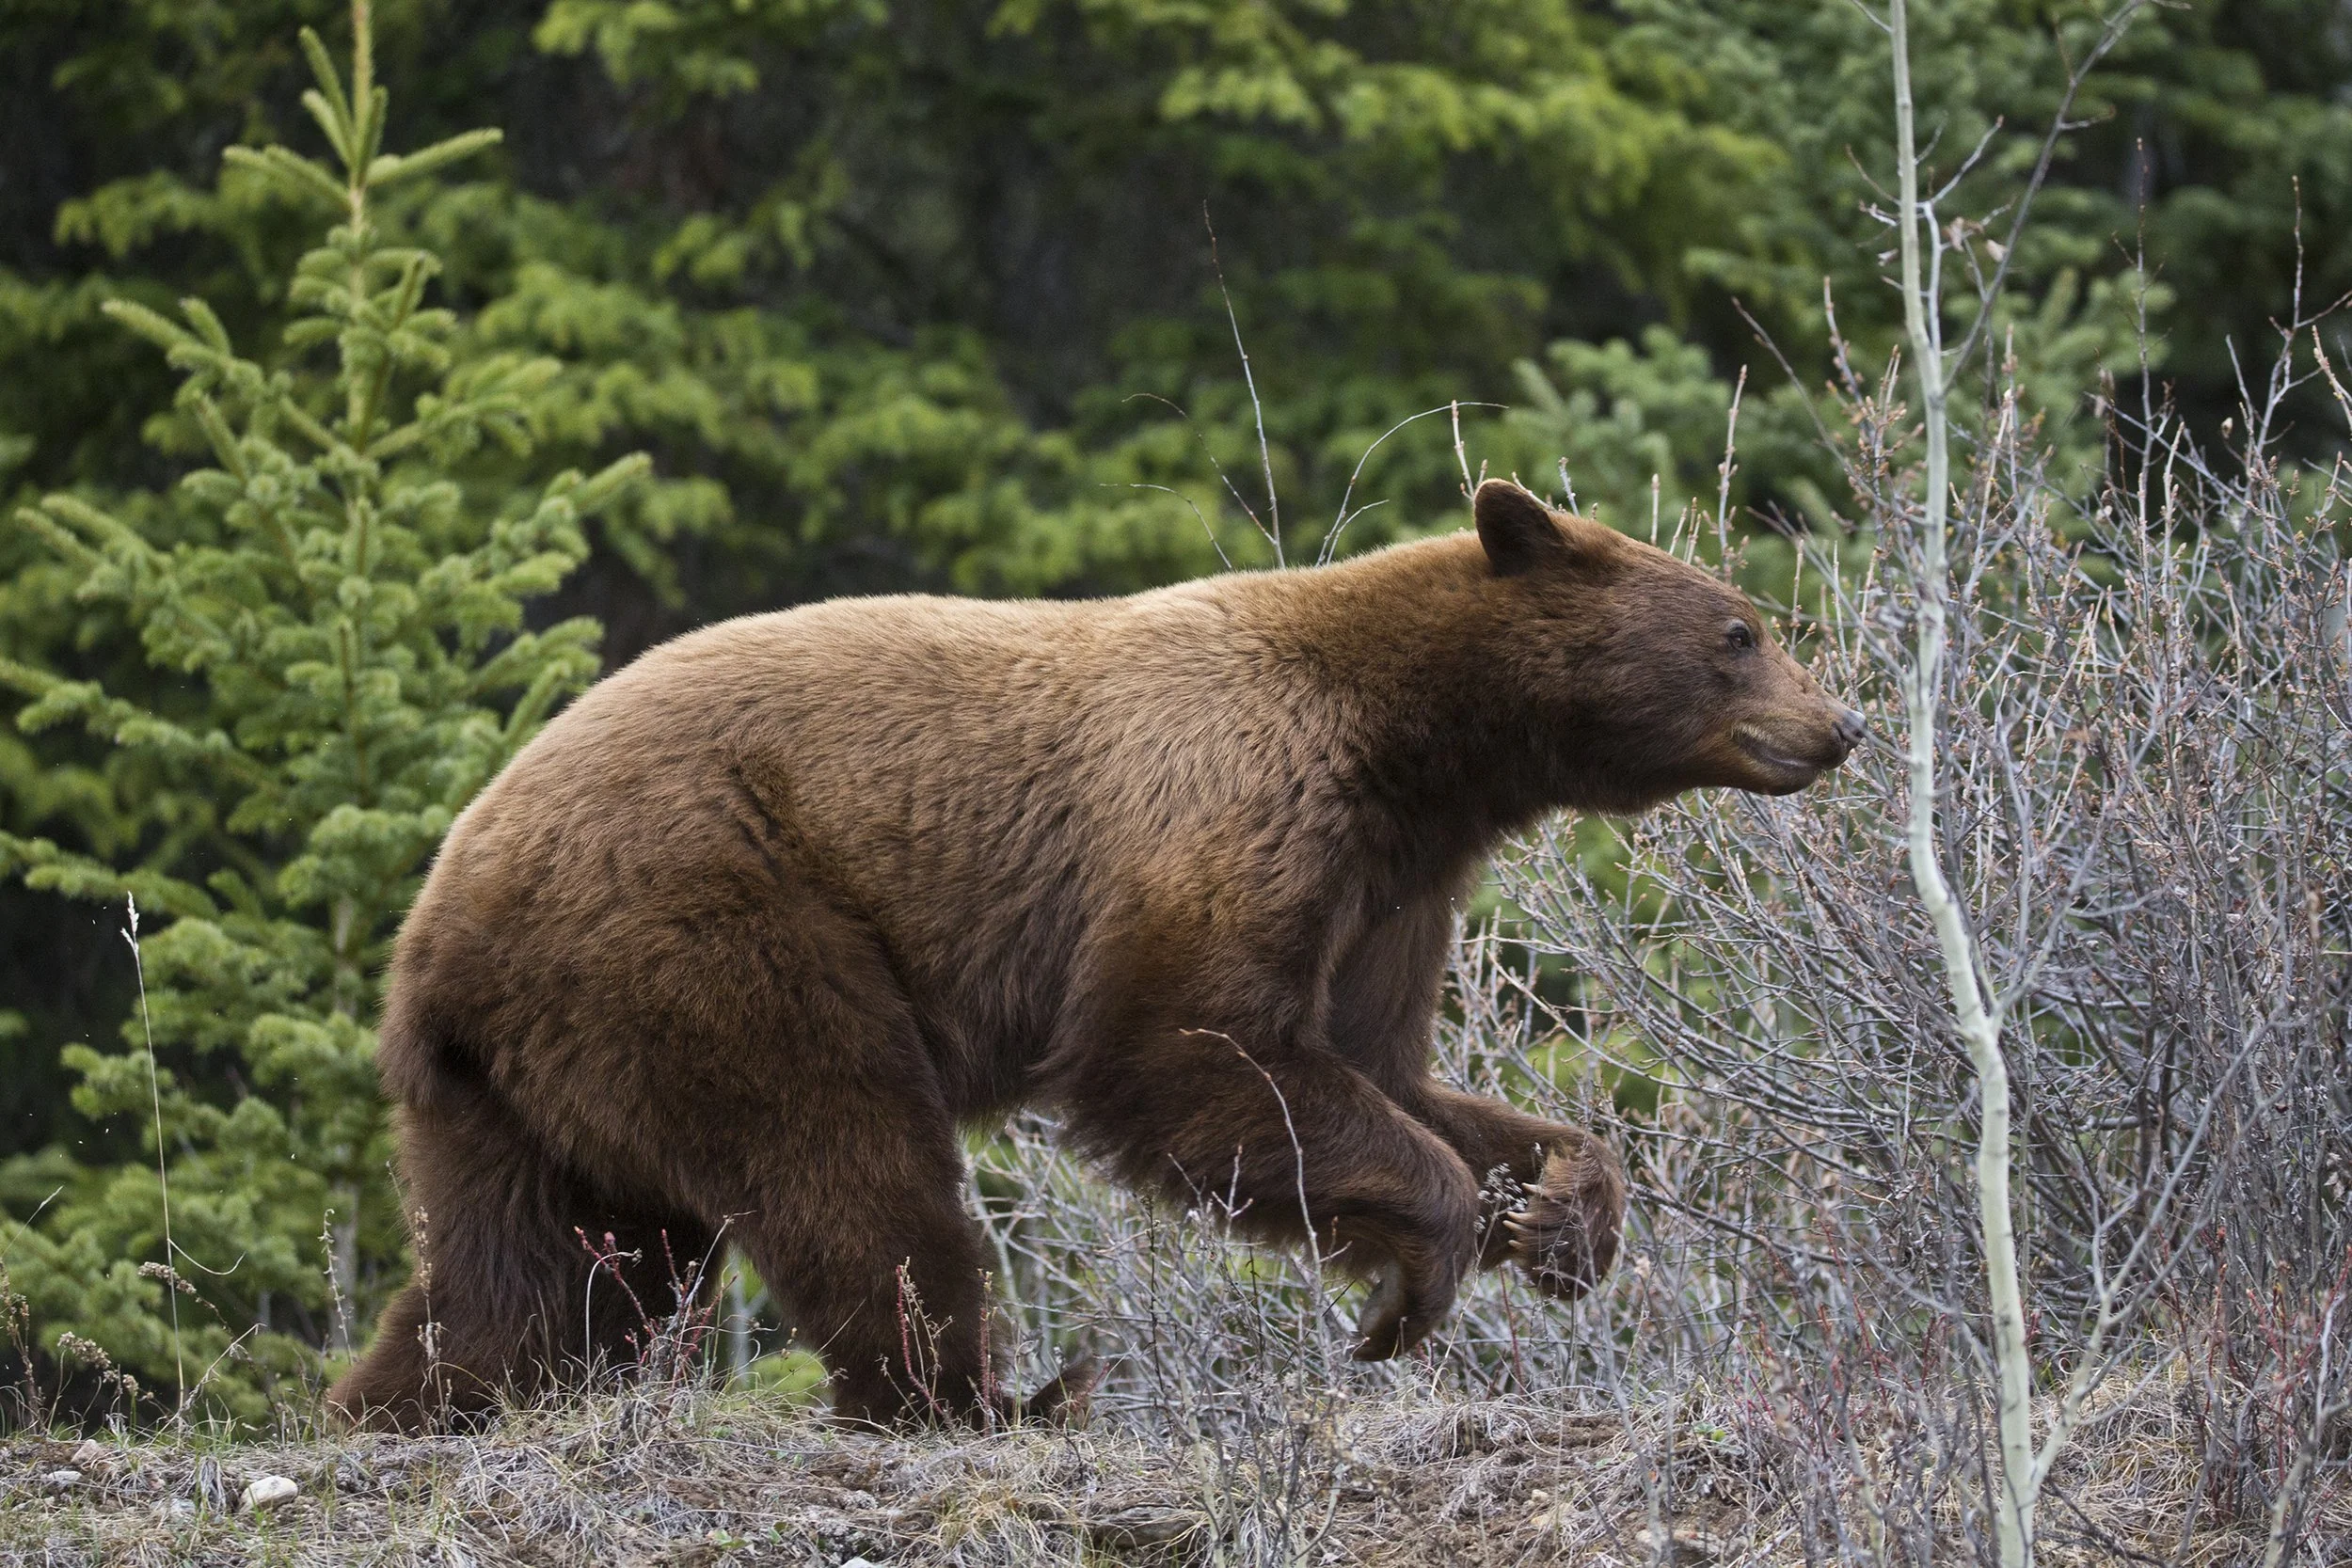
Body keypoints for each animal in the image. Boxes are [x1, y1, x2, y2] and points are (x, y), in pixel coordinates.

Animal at [327, 478, 1862, 1430]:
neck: (1412, 746)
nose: (1837, 723)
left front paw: (1558, 1213)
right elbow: (1189, 1053)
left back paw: (405, 1402)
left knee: (547, 1270)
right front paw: (1406, 1288)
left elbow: (1384, 1067)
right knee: (847, 1165)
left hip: (530, 1072)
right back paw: (985, 1397)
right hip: (712, 927)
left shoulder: (1386, 887)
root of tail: (437, 923)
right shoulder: (1238, 803)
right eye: (1739, 630)